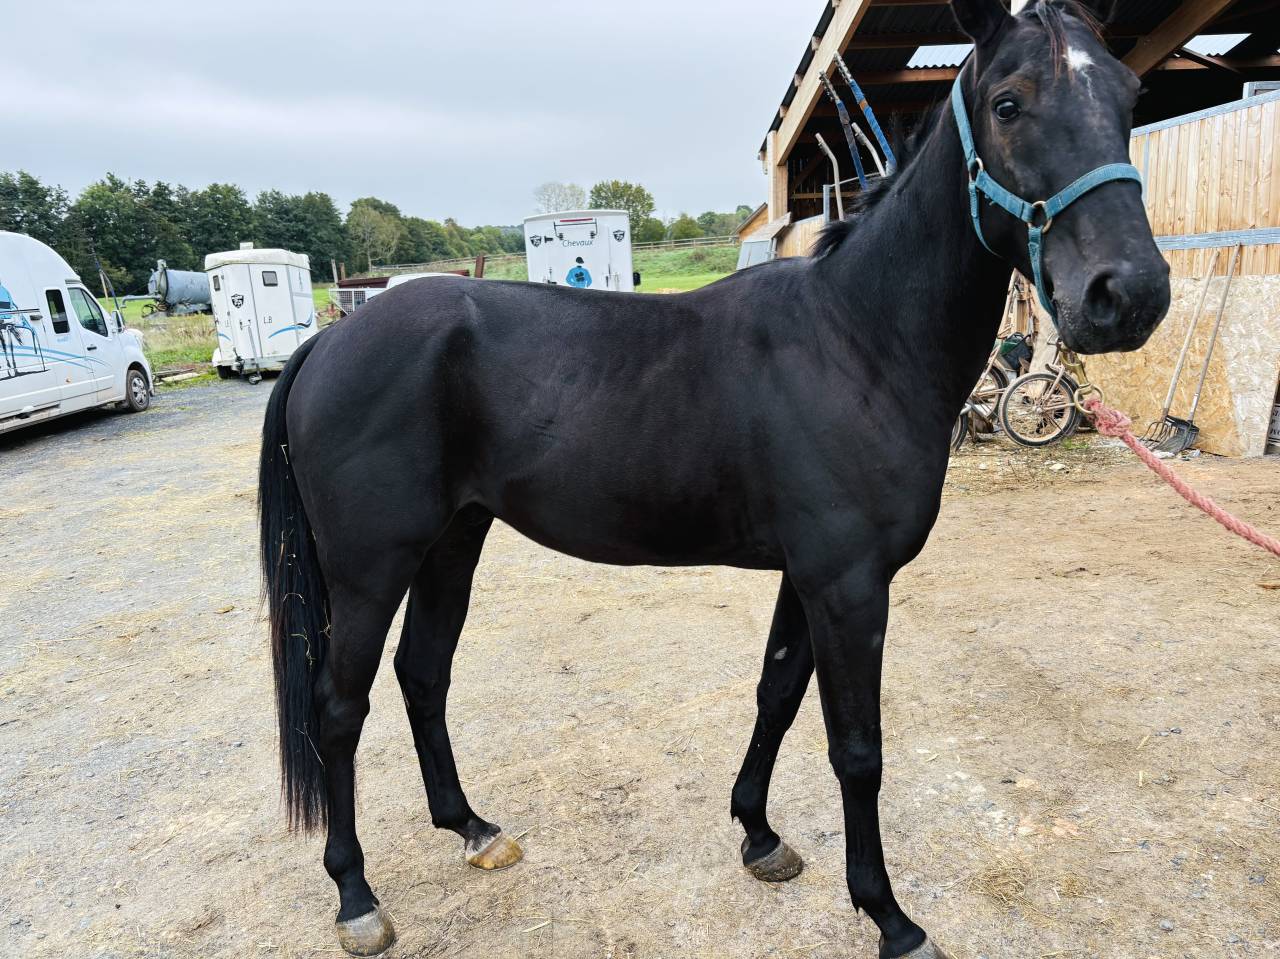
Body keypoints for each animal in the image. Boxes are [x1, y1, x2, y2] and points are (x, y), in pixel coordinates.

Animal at [258, 1, 1169, 955]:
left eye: (1130, 95)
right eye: (1008, 103)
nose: (1127, 293)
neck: (858, 339)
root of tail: (331, 338)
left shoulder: (810, 577)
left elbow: (776, 694)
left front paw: (760, 834)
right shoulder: (849, 584)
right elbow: (857, 747)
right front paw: (888, 914)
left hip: (451, 540)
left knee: (422, 674)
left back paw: (472, 828)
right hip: (371, 567)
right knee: (338, 707)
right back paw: (355, 893)